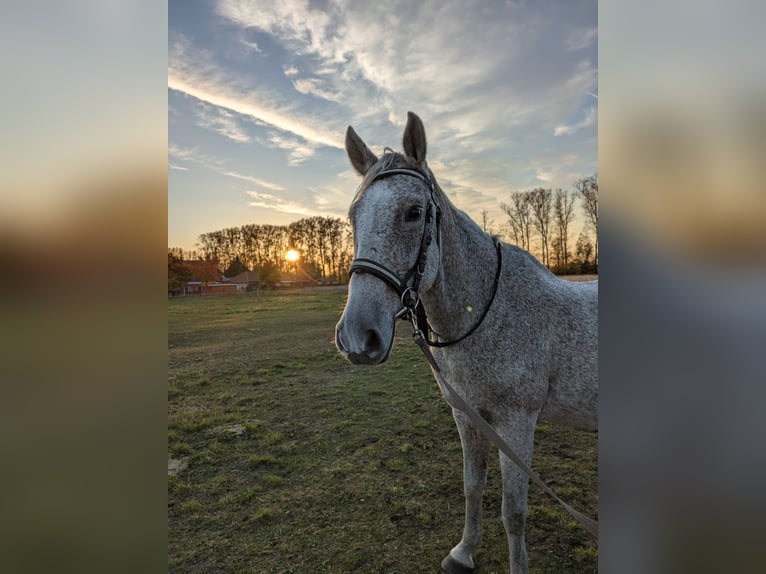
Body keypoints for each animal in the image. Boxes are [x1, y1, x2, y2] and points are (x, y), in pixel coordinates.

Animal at [336, 113, 600, 574]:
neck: (490, 312)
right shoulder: (468, 416)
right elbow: (472, 486)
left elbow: (514, 512)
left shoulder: (516, 422)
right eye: (353, 216)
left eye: (414, 212)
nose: (357, 336)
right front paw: (463, 552)